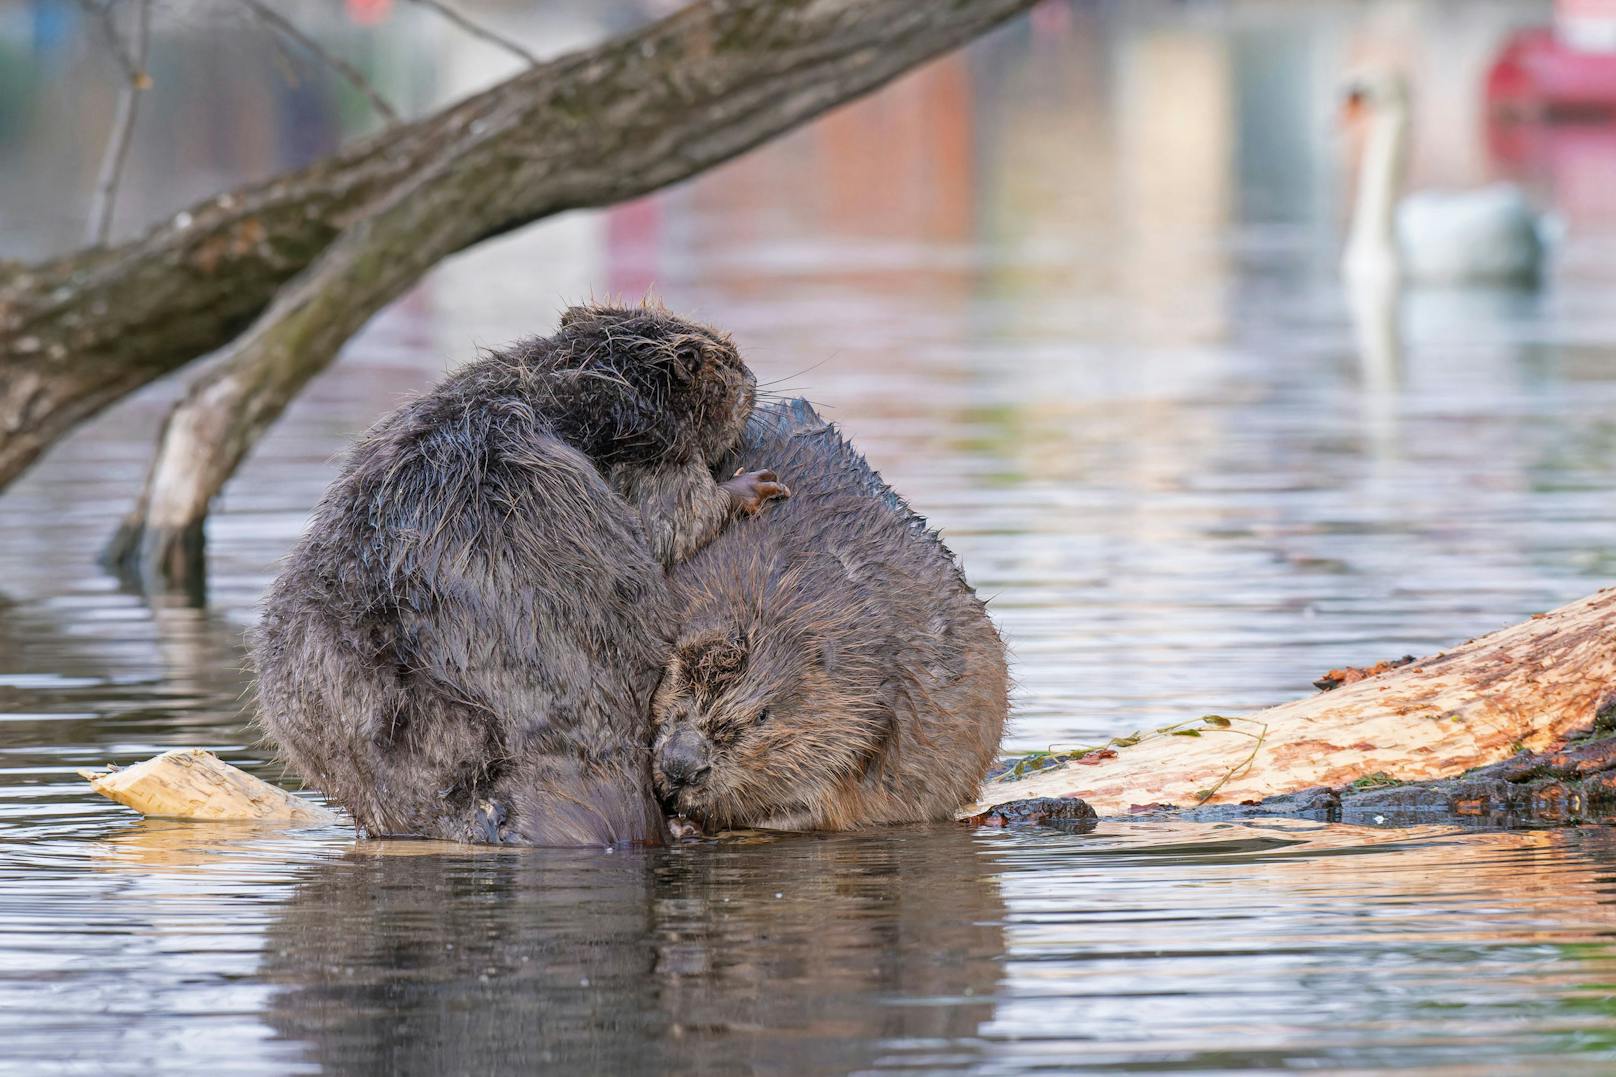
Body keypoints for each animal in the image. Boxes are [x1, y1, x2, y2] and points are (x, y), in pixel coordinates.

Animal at [248, 302, 785, 847]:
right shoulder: (649, 450)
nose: (752, 379)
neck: (578, 374)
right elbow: (676, 519)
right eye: (727, 363)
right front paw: (754, 485)